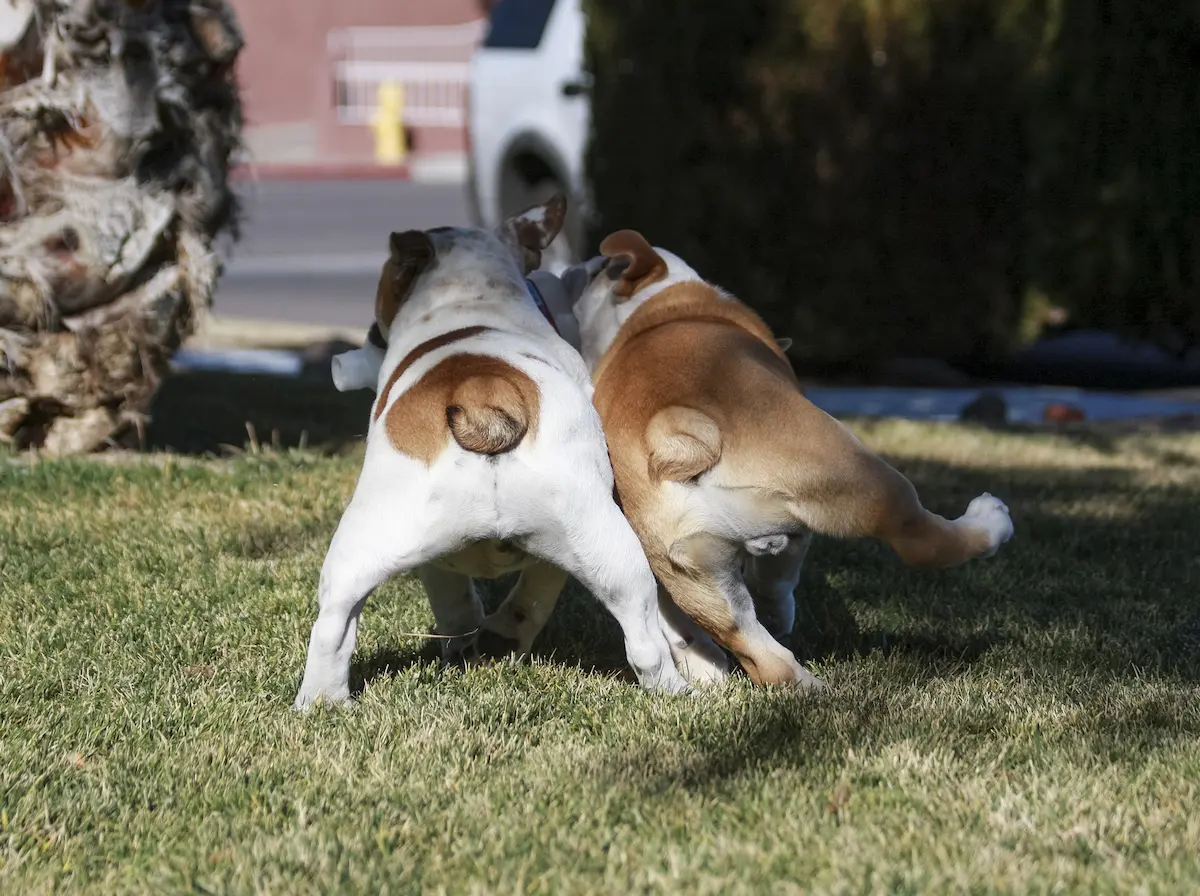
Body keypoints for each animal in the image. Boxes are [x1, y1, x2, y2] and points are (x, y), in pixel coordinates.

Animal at [291, 201, 691, 710]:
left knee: (333, 626)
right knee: (642, 638)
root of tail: (482, 397)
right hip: (608, 546)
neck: (469, 296)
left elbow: (455, 597)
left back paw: (321, 702)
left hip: (361, 545)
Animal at [566, 231, 1017, 686]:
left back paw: (806, 687)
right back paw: (991, 519)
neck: (653, 306)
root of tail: (675, 427)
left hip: (689, 564)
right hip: (855, 472)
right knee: (920, 539)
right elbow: (780, 576)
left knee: (760, 654)